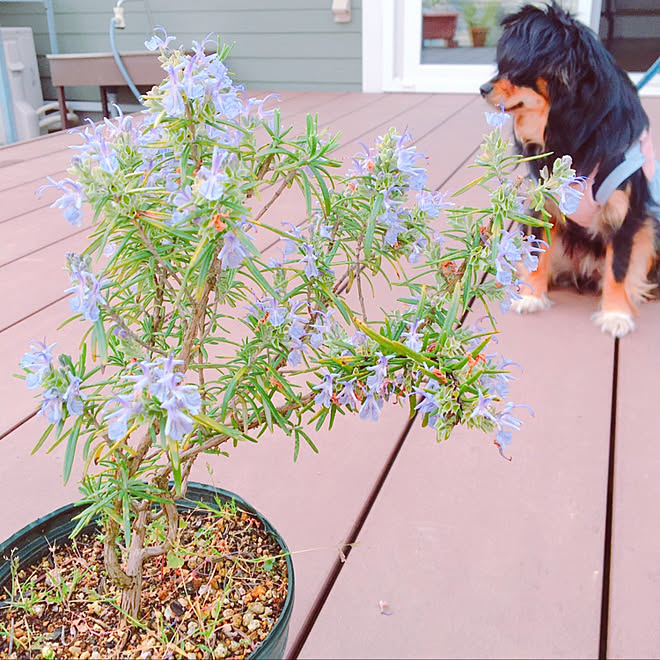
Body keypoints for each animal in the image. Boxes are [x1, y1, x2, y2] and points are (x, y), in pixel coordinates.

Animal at [480, 2, 660, 338]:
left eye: (516, 70)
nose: (483, 88)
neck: (569, 129)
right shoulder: (541, 206)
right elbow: (537, 254)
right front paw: (532, 296)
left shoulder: (625, 216)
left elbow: (620, 267)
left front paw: (616, 313)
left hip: (652, 229)